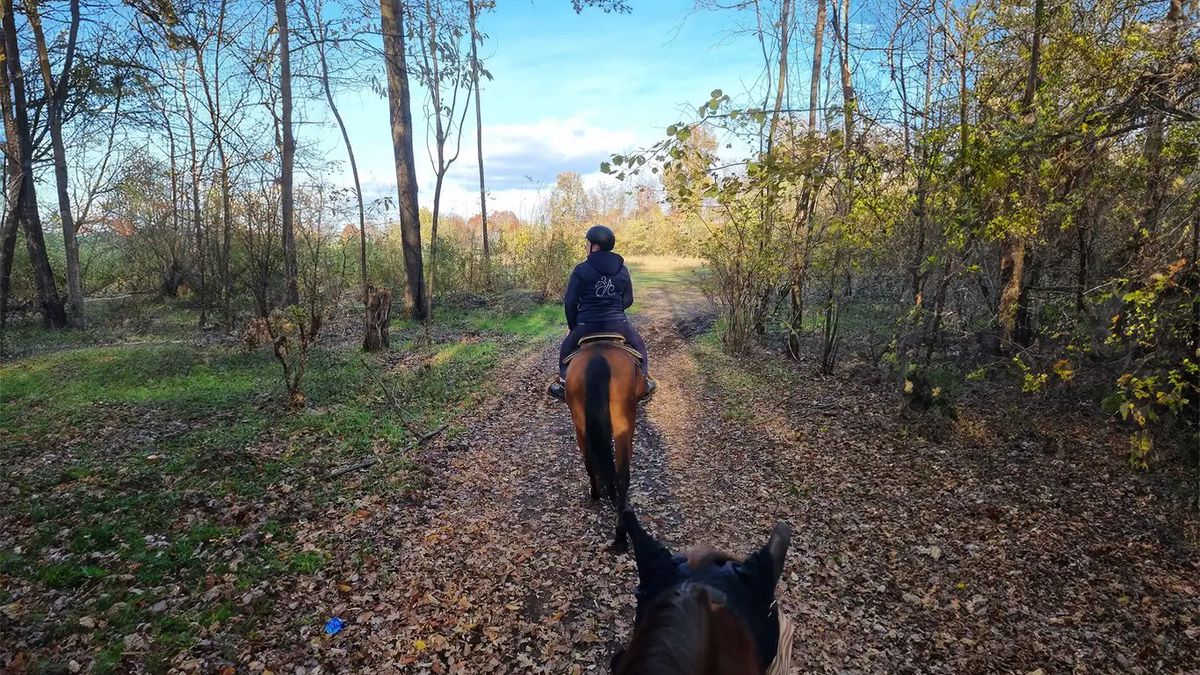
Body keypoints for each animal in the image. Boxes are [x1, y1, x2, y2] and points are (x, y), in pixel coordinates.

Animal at [564, 337, 647, 551]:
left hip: (580, 424)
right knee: (622, 476)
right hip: (623, 426)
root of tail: (598, 358)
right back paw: (620, 534)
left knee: (590, 461)